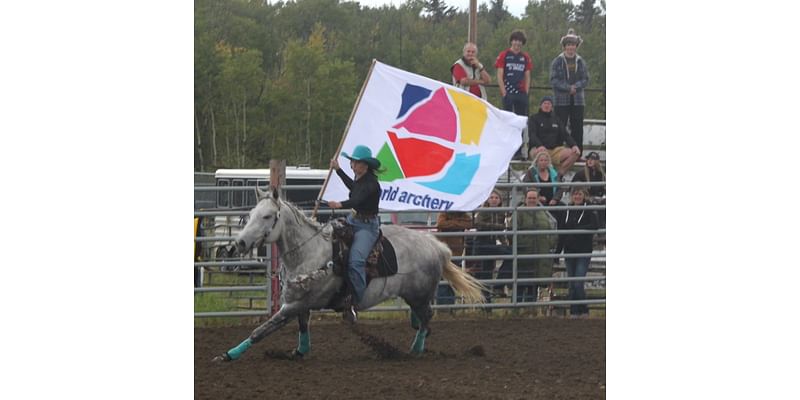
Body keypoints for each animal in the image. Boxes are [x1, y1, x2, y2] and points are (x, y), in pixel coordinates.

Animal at [212, 186, 484, 360]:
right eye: (251, 215)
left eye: (268, 216)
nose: (240, 243)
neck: (310, 252)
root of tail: (437, 246)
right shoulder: (299, 303)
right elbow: (302, 327)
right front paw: (300, 352)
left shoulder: (294, 305)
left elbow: (261, 330)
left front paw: (228, 355)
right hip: (414, 296)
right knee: (421, 320)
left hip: (419, 294)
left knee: (427, 317)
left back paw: (415, 350)